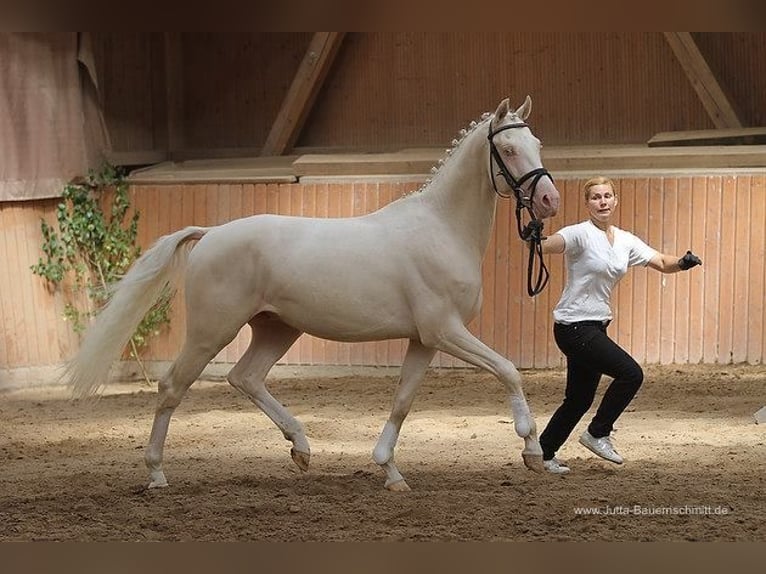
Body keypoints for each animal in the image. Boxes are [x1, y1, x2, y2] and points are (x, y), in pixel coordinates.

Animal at [69, 97, 564, 492]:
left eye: (538, 144)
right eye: (508, 149)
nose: (549, 201)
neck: (441, 228)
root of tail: (209, 234)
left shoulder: (424, 340)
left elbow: (402, 401)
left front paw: (390, 472)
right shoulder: (445, 331)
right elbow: (507, 370)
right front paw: (531, 452)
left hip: (276, 329)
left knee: (246, 377)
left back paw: (301, 448)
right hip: (213, 331)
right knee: (173, 385)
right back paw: (156, 474)